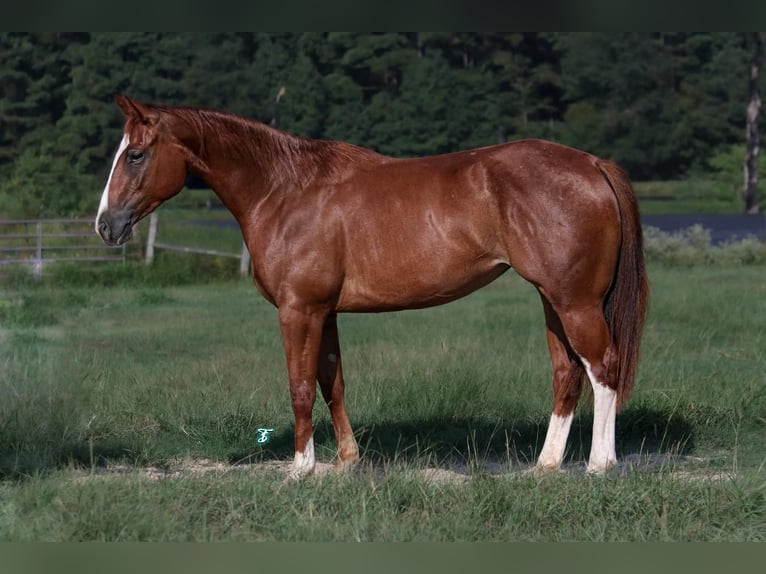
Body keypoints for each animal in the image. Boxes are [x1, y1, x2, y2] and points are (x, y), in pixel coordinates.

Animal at [94, 97, 648, 480]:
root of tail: (592, 164)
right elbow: (332, 382)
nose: (105, 225)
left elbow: (300, 386)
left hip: (576, 303)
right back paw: (546, 465)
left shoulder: (299, 310)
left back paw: (600, 464)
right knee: (567, 373)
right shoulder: (325, 312)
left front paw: (300, 469)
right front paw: (346, 461)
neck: (285, 190)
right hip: (554, 301)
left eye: (136, 155)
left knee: (604, 367)